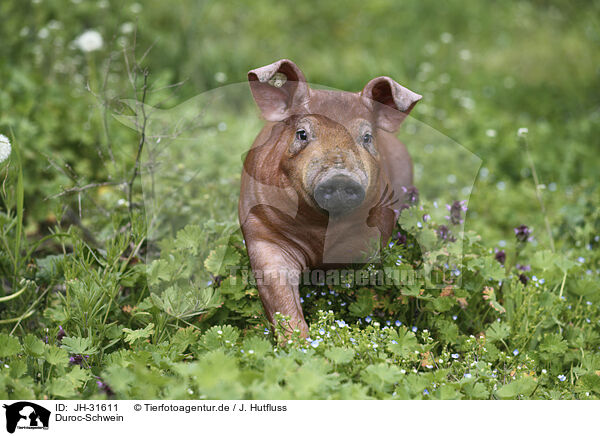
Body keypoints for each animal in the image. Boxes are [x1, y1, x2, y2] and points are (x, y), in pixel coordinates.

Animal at [237, 58, 420, 338]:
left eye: (366, 137)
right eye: (302, 133)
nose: (340, 176)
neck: (318, 230)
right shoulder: (262, 232)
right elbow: (280, 296)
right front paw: (300, 343)